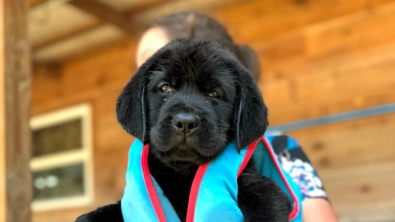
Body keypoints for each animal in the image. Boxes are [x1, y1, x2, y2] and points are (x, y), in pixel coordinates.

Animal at [76, 39, 290, 221]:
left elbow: (266, 200)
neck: (184, 173)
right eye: (165, 88)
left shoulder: (260, 188)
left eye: (215, 93)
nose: (186, 122)